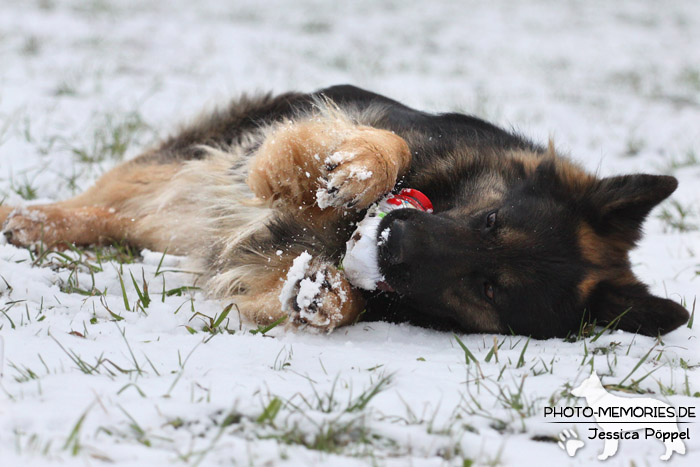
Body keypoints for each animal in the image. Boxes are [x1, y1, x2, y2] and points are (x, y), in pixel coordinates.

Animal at [0, 86, 688, 338]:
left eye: (489, 286)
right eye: (490, 221)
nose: (393, 245)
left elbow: (315, 293)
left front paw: (326, 293)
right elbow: (390, 144)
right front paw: (352, 168)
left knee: (128, 220)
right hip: (191, 159)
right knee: (107, 200)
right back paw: (29, 219)